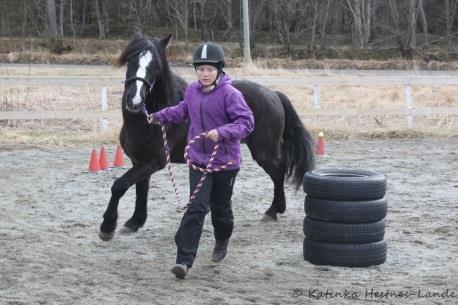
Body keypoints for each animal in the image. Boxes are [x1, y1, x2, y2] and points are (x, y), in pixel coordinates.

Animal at [99, 33, 314, 240]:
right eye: (130, 59)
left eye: (156, 66)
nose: (135, 100)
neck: (148, 121)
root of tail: (273, 94)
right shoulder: (139, 160)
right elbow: (140, 189)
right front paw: (135, 221)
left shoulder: (155, 161)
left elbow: (119, 185)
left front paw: (107, 227)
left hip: (264, 152)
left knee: (278, 170)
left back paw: (273, 210)